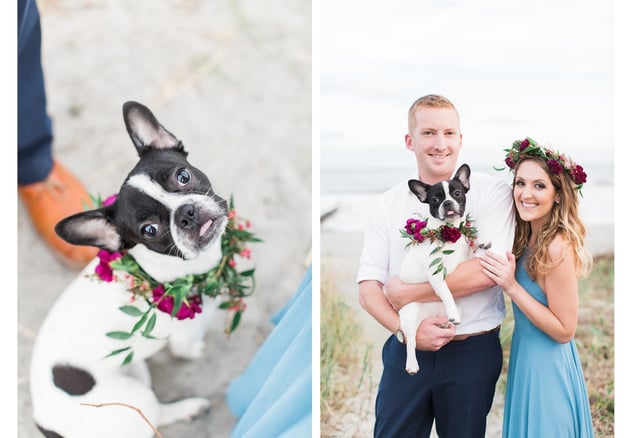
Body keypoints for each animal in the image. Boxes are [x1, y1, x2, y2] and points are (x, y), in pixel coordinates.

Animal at [29, 102, 228, 438]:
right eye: (150, 230)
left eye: (183, 176)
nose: (186, 213)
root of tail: (45, 424)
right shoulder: (184, 335)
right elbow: (186, 349)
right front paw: (197, 351)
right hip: (135, 397)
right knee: (154, 414)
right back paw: (189, 408)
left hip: (136, 368)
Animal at [398, 163, 470, 374]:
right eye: (435, 199)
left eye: (457, 193)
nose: (447, 203)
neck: (448, 230)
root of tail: (430, 316)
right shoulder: (437, 274)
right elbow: (446, 292)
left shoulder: (461, 259)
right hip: (410, 313)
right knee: (411, 341)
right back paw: (412, 364)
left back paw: (447, 322)